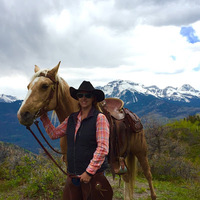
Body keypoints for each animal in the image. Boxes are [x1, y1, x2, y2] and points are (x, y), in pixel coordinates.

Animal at [16, 61, 156, 199]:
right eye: (28, 86)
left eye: (44, 86)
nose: (22, 114)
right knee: (127, 179)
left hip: (141, 151)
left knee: (148, 175)